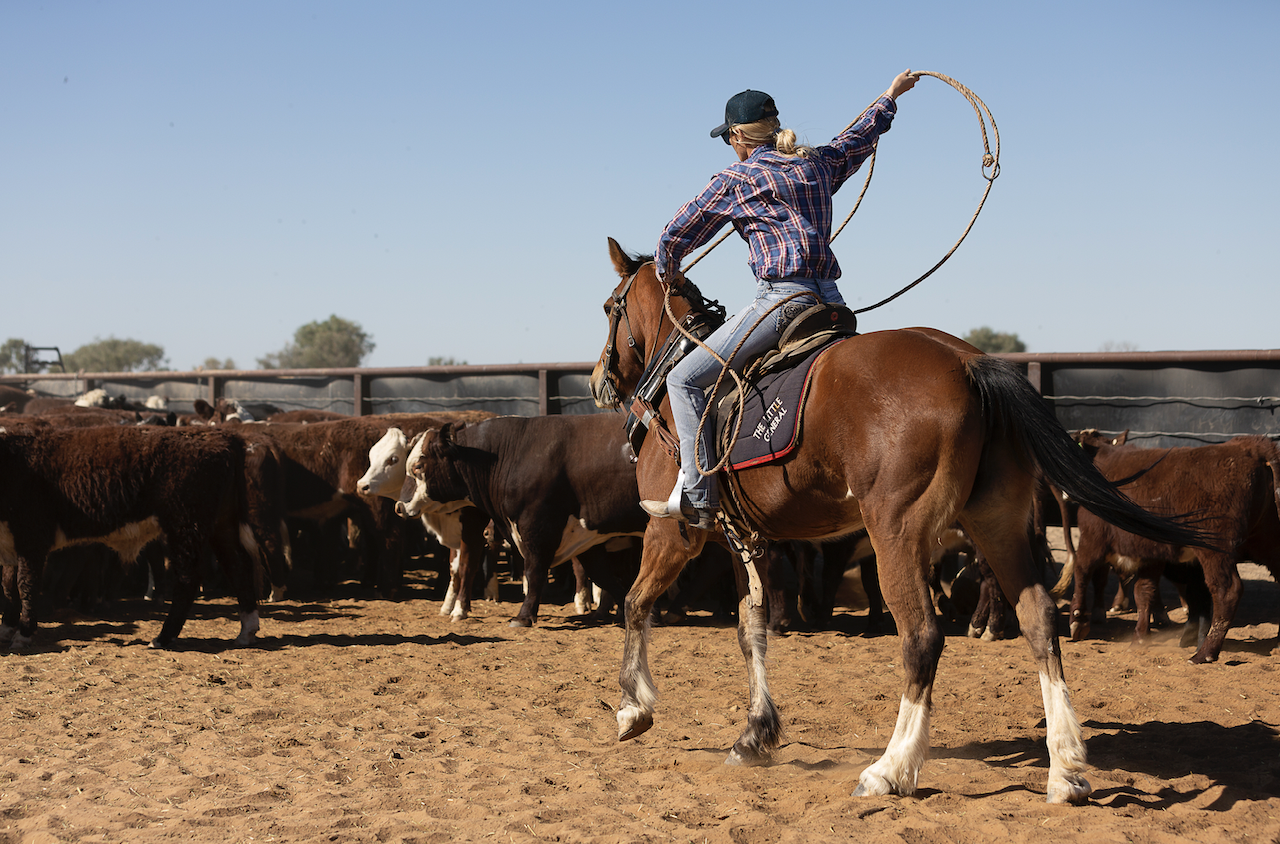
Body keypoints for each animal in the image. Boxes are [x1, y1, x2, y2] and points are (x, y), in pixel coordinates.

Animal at [586, 238, 1203, 804]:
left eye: (610, 306)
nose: (597, 380)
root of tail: (968, 363)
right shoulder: (749, 542)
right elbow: (750, 631)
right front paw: (754, 735)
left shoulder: (674, 533)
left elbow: (634, 604)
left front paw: (633, 709)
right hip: (996, 523)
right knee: (1039, 618)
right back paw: (1066, 769)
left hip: (896, 532)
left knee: (923, 636)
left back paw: (891, 768)